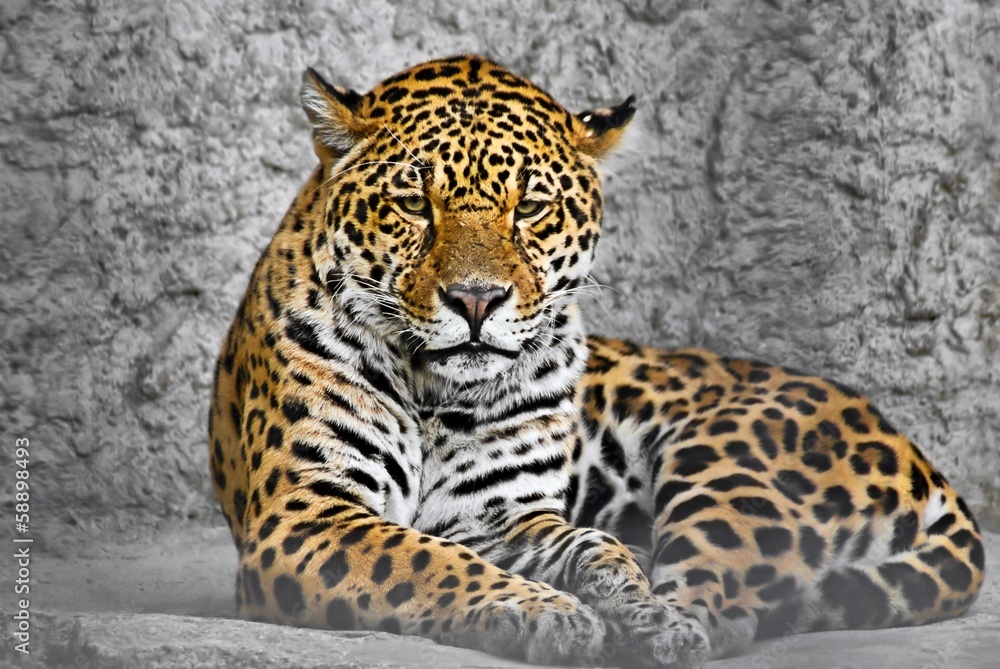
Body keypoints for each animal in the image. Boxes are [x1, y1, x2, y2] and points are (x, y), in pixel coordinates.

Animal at [208, 54, 985, 668]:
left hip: (726, 463)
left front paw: (629, 601)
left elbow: (587, 542)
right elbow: (425, 559)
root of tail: (913, 451)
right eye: (413, 203)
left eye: (531, 208)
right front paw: (545, 610)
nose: (475, 299)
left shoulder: (498, 516)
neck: (436, 393)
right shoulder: (307, 512)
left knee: (727, 601)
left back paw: (669, 625)